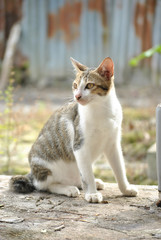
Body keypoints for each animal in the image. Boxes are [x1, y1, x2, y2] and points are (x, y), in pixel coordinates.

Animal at [9, 57, 137, 202]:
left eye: (90, 85)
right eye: (75, 85)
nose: (77, 96)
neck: (102, 110)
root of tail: (32, 173)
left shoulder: (113, 144)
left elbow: (119, 169)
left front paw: (126, 189)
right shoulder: (79, 146)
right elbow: (87, 175)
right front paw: (92, 193)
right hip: (45, 166)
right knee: (44, 185)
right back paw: (68, 188)